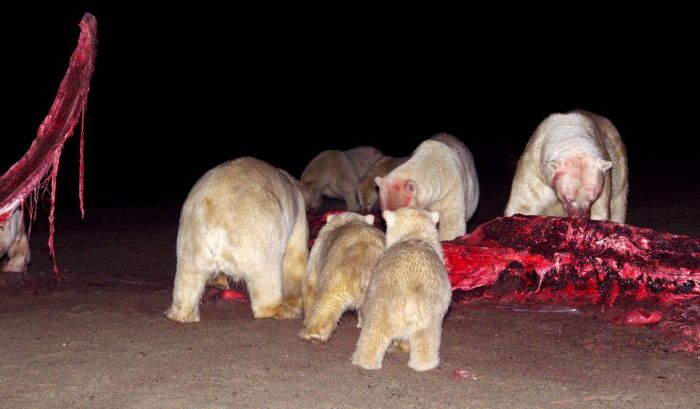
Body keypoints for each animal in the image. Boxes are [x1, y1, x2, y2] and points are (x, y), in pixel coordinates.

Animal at [167, 157, 308, 322]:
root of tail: (216, 216)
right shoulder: (298, 217)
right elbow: (295, 260)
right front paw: (294, 304)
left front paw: (218, 282)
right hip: (259, 233)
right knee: (266, 273)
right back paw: (280, 310)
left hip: (192, 233)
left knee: (189, 274)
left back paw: (182, 314)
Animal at [298, 210, 386, 342]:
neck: (348, 220)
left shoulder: (317, 251)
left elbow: (310, 285)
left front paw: (306, 320)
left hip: (338, 274)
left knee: (327, 302)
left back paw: (312, 333)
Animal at [350, 209, 454, 372]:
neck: (413, 237)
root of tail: (407, 294)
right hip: (427, 310)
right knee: (426, 337)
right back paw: (424, 364)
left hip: (380, 304)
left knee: (373, 334)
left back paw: (365, 362)